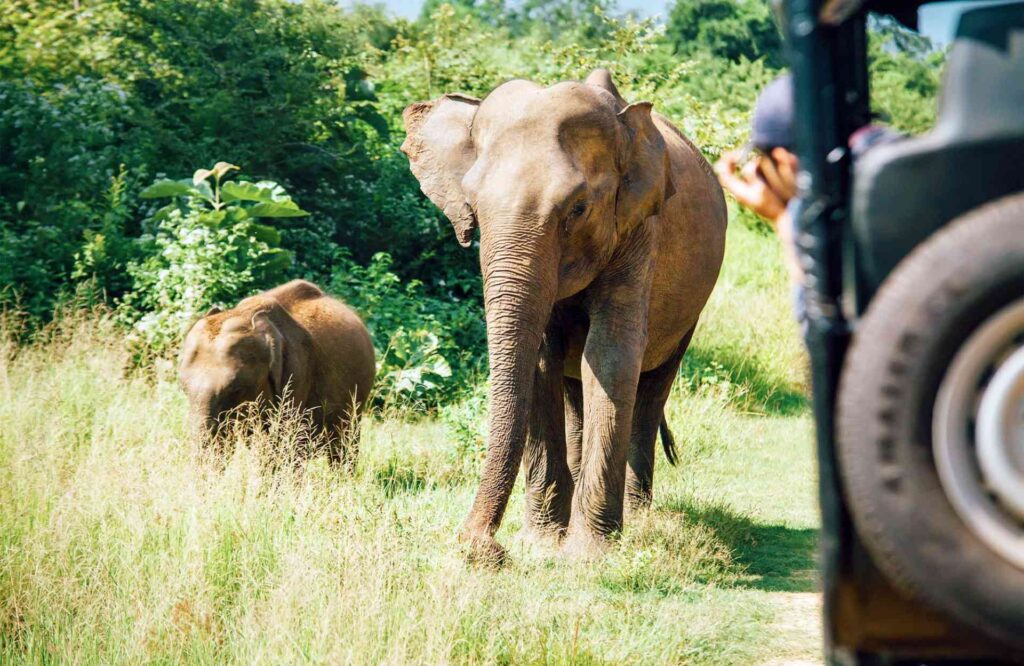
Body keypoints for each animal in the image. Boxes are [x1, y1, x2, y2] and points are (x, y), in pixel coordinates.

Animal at [401, 69, 726, 562]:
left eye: (577, 209)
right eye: (472, 209)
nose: (480, 548)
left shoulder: (639, 231)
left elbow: (609, 358)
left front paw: (588, 555)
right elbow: (541, 362)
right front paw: (541, 544)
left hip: (692, 309)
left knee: (651, 386)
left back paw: (639, 516)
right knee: (575, 388)